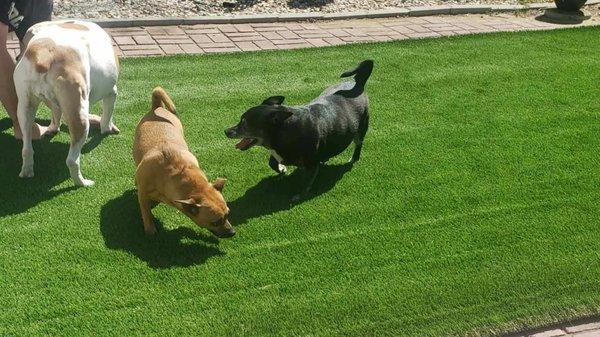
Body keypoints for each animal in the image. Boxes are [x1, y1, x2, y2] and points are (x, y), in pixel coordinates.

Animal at [13, 20, 119, 186]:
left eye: (23, 43)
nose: (18, 55)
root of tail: (44, 54)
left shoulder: (53, 103)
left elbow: (56, 113)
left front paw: (53, 128)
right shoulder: (112, 93)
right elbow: (107, 117)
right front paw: (106, 129)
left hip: (25, 108)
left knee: (26, 149)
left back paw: (26, 172)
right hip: (80, 118)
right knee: (72, 160)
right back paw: (82, 182)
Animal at [133, 88, 234, 238]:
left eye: (228, 214)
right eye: (215, 222)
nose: (233, 232)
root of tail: (157, 108)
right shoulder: (143, 194)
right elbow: (146, 213)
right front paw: (150, 230)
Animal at [226, 59, 372, 200]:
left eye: (244, 123)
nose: (226, 131)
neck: (285, 130)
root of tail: (357, 83)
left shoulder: (311, 165)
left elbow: (306, 182)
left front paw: (300, 195)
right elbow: (272, 163)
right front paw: (282, 170)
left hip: (362, 127)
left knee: (358, 143)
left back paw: (354, 158)